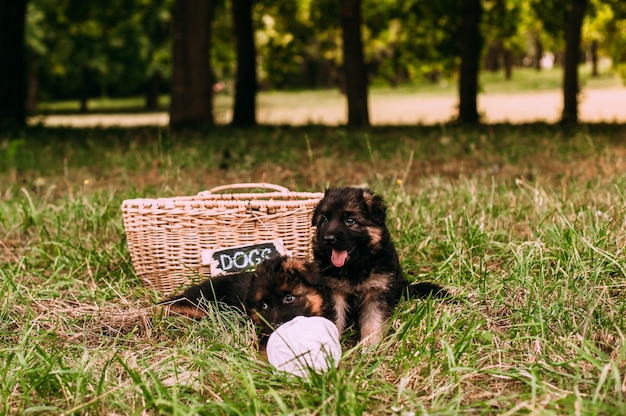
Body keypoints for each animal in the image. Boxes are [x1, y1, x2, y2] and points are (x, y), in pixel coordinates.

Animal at [310, 187, 446, 346]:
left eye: (350, 221)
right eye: (324, 220)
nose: (328, 239)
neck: (355, 266)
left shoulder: (376, 291)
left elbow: (372, 322)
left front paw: (370, 347)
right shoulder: (334, 291)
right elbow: (334, 320)